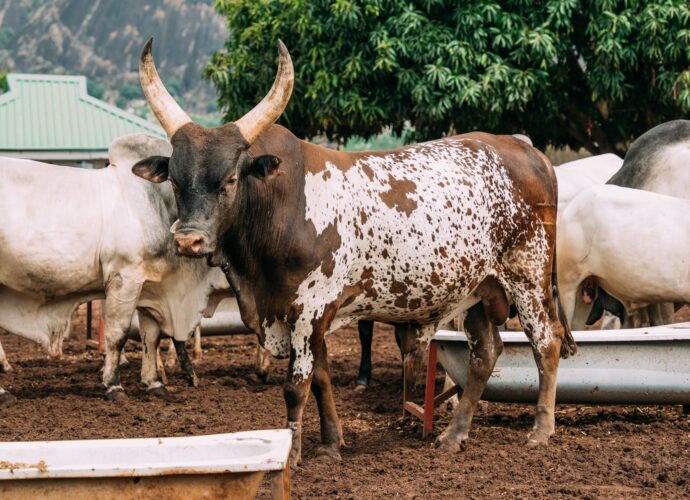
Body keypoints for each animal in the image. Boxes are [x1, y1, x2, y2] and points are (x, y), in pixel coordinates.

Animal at [0, 133, 227, 404]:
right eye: (175, 178)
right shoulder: (124, 278)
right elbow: (117, 334)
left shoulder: (151, 285)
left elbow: (151, 336)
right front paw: (113, 385)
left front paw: (154, 383)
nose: (192, 238)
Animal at [133, 39, 574, 463]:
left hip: (528, 276)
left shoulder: (308, 310)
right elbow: (322, 379)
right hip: (477, 289)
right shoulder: (310, 315)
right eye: (175, 181)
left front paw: (293, 454)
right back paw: (454, 435)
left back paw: (540, 431)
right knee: (485, 353)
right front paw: (331, 444)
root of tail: (525, 149)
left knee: (546, 342)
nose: (188, 240)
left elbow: (297, 385)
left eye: (230, 179)